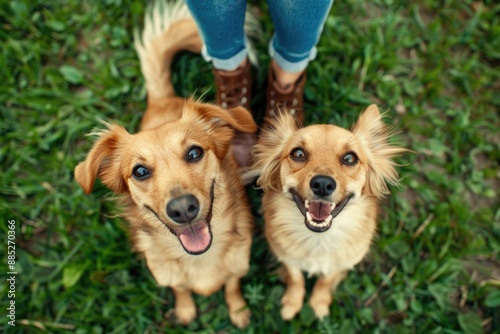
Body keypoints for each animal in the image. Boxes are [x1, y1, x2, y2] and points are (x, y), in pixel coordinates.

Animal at [74, 1, 258, 328]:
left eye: (195, 153)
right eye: (140, 171)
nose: (183, 209)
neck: (200, 259)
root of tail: (161, 100)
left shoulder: (239, 264)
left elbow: (232, 286)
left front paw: (237, 310)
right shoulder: (166, 274)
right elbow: (180, 288)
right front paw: (185, 310)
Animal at [254, 107, 406, 320]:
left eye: (350, 158)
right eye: (298, 153)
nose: (323, 184)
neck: (319, 238)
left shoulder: (343, 261)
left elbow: (326, 280)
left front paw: (319, 303)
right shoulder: (287, 257)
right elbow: (296, 278)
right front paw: (292, 303)